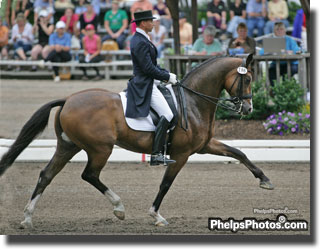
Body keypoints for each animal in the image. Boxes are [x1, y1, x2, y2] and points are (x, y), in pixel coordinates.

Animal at [0, 54, 272, 229]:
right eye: (248, 79)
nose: (248, 109)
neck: (193, 101)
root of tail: (68, 99)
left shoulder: (204, 146)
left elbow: (238, 153)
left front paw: (265, 180)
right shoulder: (181, 155)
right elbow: (165, 184)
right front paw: (156, 216)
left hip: (68, 146)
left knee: (46, 175)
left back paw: (27, 218)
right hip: (100, 149)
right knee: (89, 175)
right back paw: (119, 208)